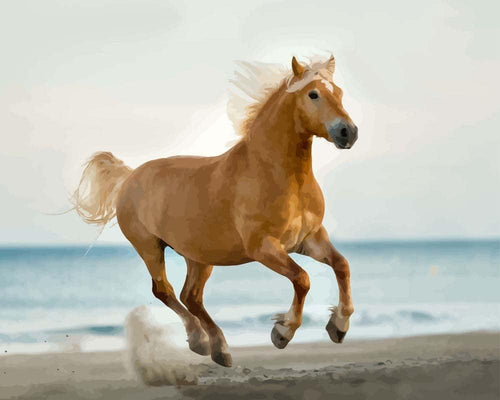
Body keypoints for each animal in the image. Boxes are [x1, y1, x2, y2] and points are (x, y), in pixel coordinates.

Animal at [72, 54, 358, 368]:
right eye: (313, 94)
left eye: (339, 92)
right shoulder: (265, 248)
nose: (348, 132)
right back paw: (203, 341)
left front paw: (339, 326)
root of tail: (129, 177)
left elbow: (342, 265)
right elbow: (302, 279)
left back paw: (217, 348)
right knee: (165, 291)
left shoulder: (309, 239)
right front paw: (282, 333)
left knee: (191, 296)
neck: (276, 175)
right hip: (150, 247)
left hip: (198, 256)